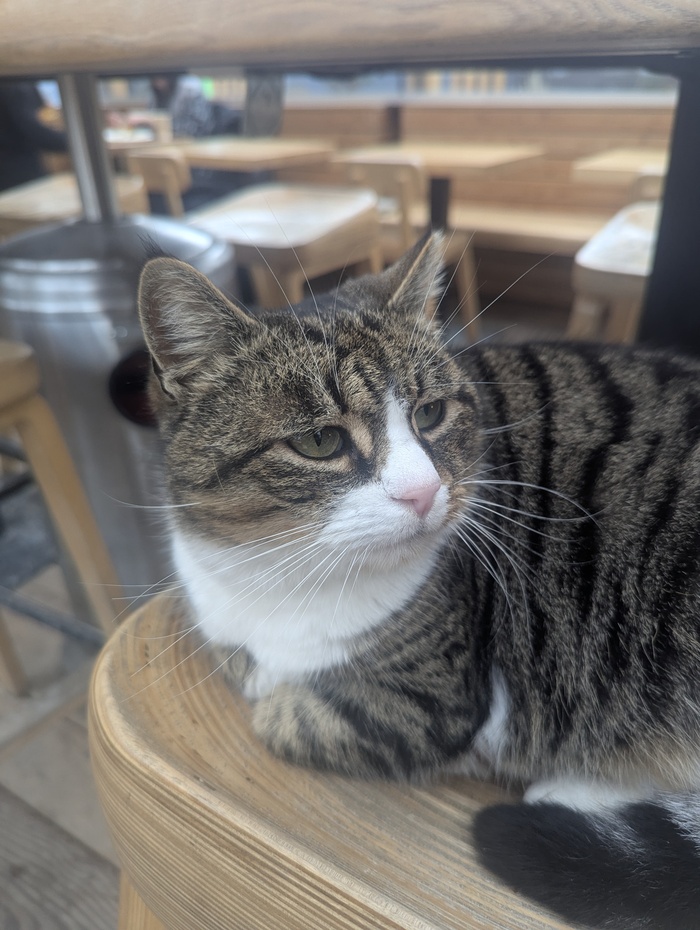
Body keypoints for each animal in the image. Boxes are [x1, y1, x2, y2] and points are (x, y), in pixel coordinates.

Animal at [138, 233, 700, 930]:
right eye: (320, 441)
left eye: (430, 414)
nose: (424, 491)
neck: (286, 574)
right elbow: (247, 669)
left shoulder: (431, 702)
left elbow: (282, 718)